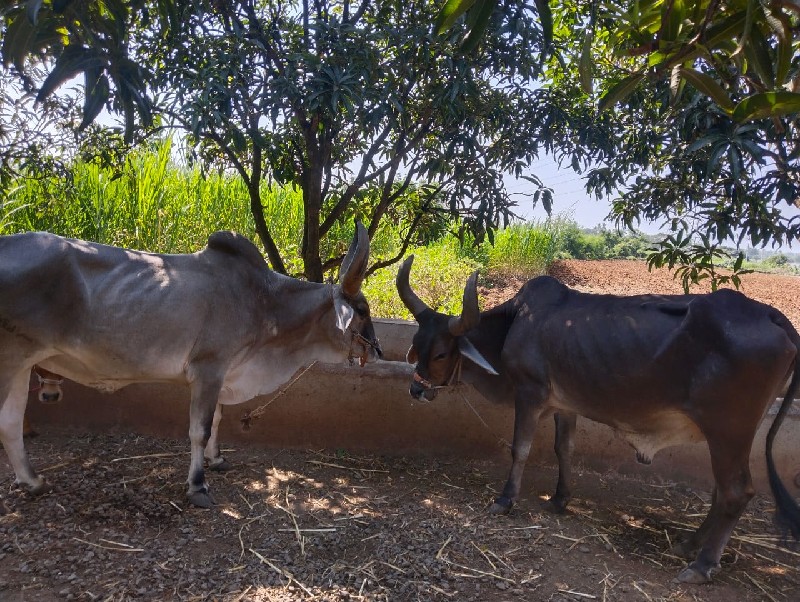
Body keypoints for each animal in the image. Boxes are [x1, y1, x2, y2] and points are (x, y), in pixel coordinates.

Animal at [0, 224, 382, 506]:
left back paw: (32, 481)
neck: (264, 301)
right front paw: (198, 486)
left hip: (21, 365)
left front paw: (216, 460)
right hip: (10, 361)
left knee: (11, 424)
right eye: (361, 310)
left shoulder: (221, 374)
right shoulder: (208, 369)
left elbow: (217, 420)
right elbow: (200, 429)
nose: (377, 352)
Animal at [396, 255, 800, 584]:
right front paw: (560, 499)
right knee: (721, 491)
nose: (416, 390)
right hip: (731, 436)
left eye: (442, 353)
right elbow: (564, 449)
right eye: (417, 344)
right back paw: (688, 544)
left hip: (728, 430)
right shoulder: (565, 405)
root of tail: (772, 315)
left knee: (736, 492)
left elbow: (520, 449)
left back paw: (701, 565)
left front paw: (505, 500)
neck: (515, 324)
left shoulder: (529, 395)